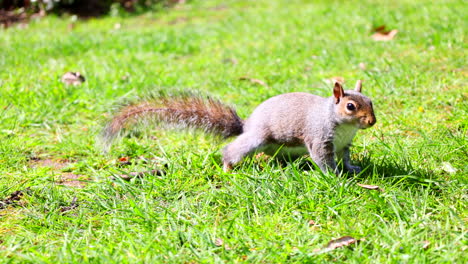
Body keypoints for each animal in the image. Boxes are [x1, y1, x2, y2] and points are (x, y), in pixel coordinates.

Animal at [102, 80, 376, 174]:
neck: (342, 126)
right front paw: (336, 176)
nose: (372, 121)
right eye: (350, 106)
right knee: (232, 150)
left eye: (371, 101)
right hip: (257, 139)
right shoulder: (319, 138)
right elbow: (323, 160)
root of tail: (247, 125)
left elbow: (346, 157)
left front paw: (351, 168)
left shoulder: (344, 144)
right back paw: (227, 167)